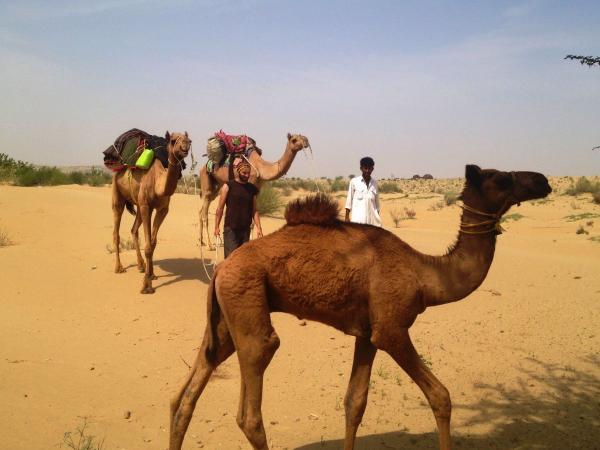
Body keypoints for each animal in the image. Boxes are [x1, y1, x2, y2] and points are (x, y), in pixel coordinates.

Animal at [110, 131, 190, 292]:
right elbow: (148, 246)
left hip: (138, 204)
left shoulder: (162, 209)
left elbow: (152, 243)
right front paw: (147, 285)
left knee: (134, 229)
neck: (158, 181)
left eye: (188, 139)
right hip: (118, 194)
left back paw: (141, 265)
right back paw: (119, 267)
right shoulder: (146, 206)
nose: (186, 145)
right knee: (116, 230)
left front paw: (152, 274)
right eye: (173, 141)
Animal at [170, 166, 552, 450]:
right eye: (501, 178)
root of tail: (221, 267)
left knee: (186, 394)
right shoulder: (391, 329)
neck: (424, 274)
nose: (542, 180)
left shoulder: (367, 334)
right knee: (250, 409)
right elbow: (441, 396)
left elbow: (354, 403)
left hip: (226, 316)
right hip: (247, 306)